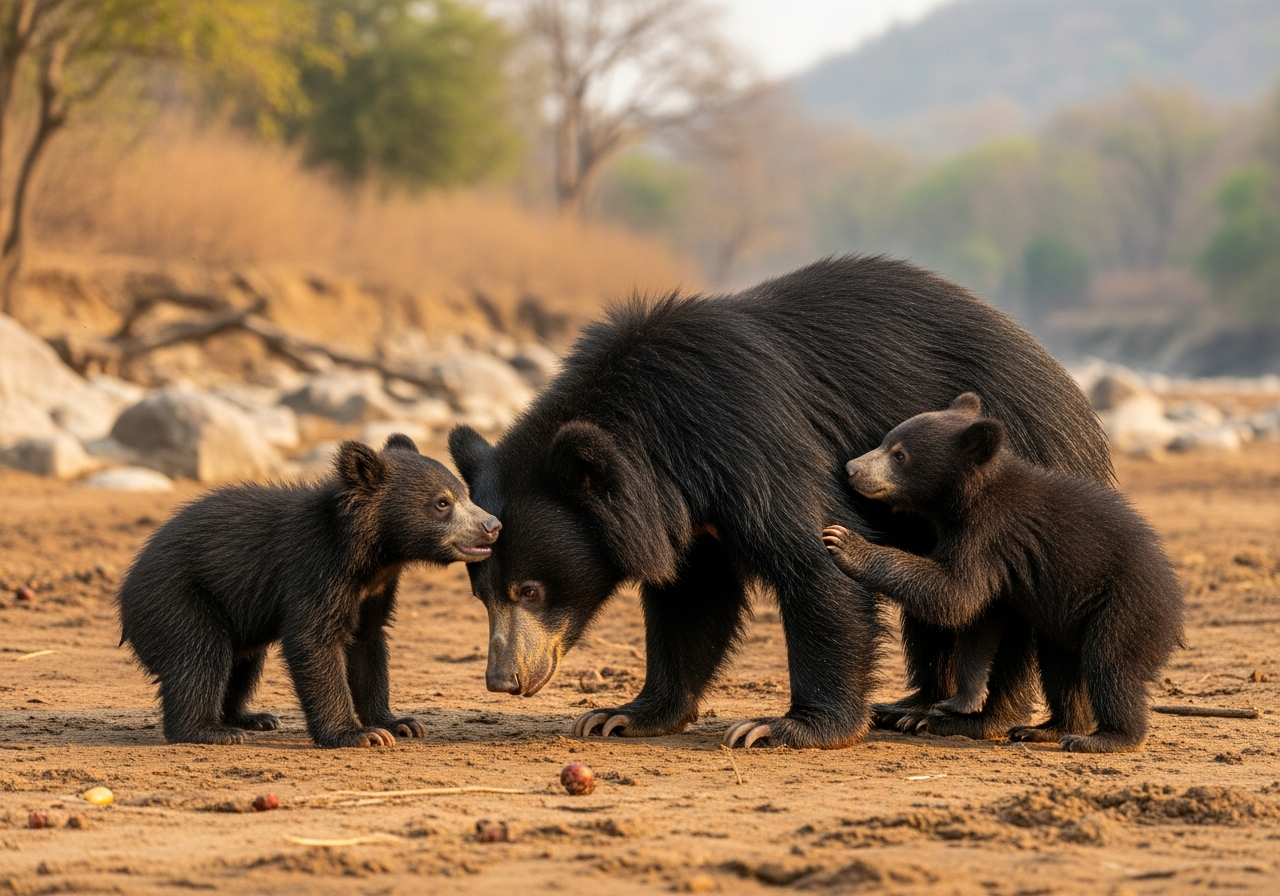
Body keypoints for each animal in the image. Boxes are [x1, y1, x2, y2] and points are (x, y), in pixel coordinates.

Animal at [117, 434, 501, 747]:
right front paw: (359, 735)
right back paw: (210, 730)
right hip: (178, 600)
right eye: (442, 503)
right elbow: (313, 640)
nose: (493, 526)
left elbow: (368, 644)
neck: (372, 557)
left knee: (242, 663)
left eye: (466, 495)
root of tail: (125, 591)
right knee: (200, 656)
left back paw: (252, 718)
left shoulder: (374, 591)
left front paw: (401, 724)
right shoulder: (315, 570)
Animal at [448, 256, 1113, 749]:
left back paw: (972, 720)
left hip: (1017, 488)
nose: (502, 680)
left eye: (530, 591)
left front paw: (784, 727)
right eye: (482, 595)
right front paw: (622, 715)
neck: (659, 436)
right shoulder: (690, 514)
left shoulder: (750, 435)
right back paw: (912, 706)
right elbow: (692, 598)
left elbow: (815, 561)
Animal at [823, 393, 1185, 752]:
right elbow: (980, 620)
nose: (851, 469)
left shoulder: (987, 536)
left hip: (1123, 609)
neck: (967, 499)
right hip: (1068, 625)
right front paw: (962, 701)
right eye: (886, 441)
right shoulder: (995, 568)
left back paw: (1104, 737)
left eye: (899, 454)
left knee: (1111, 667)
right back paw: (1047, 729)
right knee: (1061, 670)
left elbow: (954, 595)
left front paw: (843, 542)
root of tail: (1177, 604)